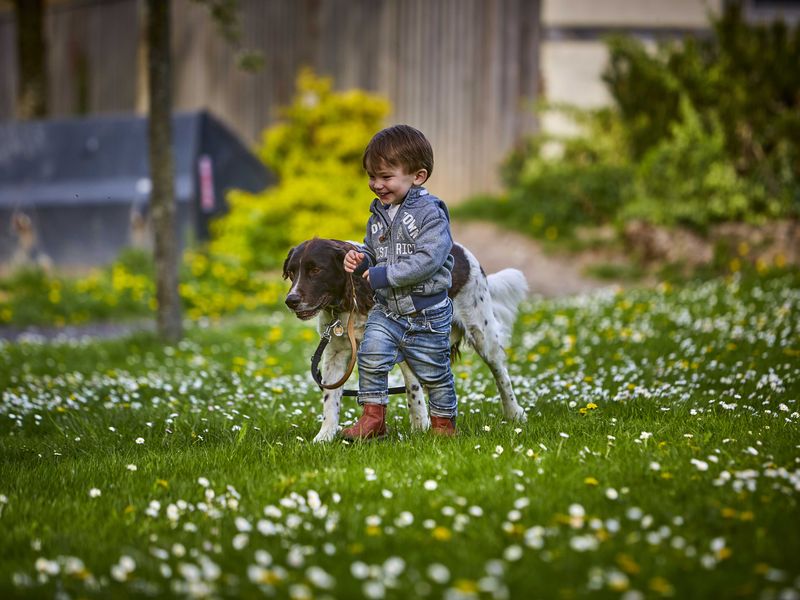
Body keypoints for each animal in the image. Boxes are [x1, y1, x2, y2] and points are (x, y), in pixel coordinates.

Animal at [282, 238, 532, 440]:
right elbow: (331, 398)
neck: (351, 300)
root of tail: (462, 250)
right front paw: (325, 437)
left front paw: (420, 429)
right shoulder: (335, 352)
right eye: (292, 273)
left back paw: (514, 413)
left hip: (482, 332)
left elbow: (413, 391)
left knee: (501, 374)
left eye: (316, 270)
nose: (291, 300)